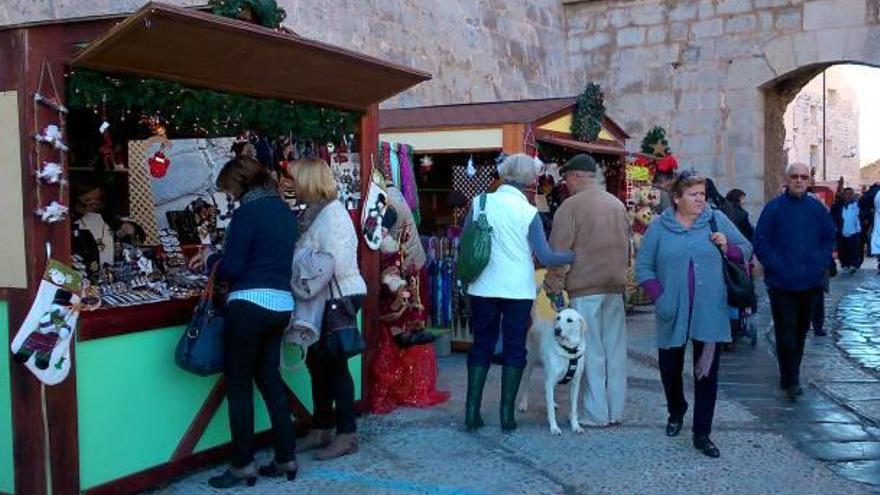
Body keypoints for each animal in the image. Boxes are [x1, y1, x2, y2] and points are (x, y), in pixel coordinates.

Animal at [520, 308, 588, 436]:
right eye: (558, 318)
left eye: (569, 320)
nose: (556, 330)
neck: (569, 351)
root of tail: (537, 321)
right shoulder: (550, 380)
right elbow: (550, 409)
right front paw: (554, 427)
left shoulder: (575, 384)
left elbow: (574, 408)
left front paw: (575, 426)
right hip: (529, 365)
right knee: (526, 385)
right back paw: (523, 404)